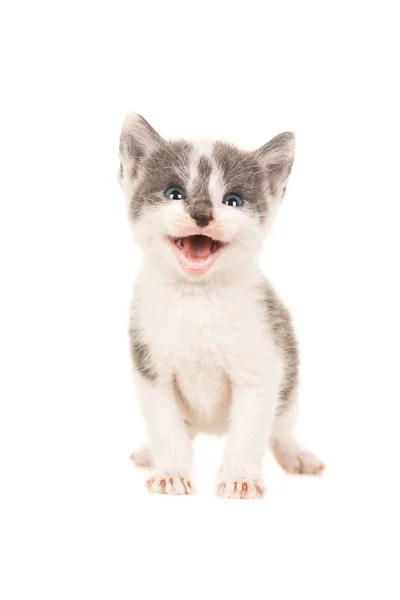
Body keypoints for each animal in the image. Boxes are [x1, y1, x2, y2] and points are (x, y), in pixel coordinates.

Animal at [117, 112, 324, 496]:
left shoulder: (263, 363)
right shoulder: (151, 366)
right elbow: (165, 425)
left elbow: (250, 428)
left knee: (279, 427)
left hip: (289, 379)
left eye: (232, 200)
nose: (202, 214)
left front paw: (240, 477)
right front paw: (171, 470)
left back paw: (294, 454)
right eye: (174, 194)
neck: (198, 296)